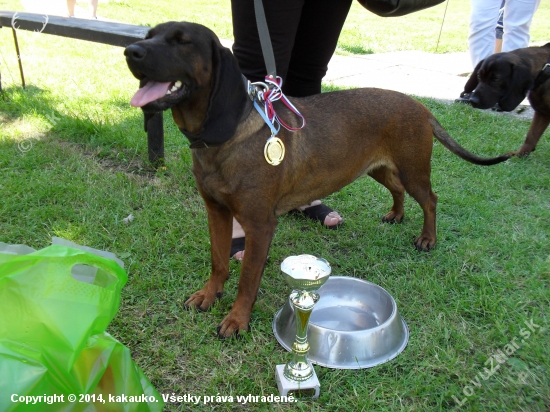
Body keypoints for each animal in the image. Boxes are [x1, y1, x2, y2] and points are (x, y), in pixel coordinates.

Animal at [126, 22, 512, 336]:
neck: (224, 141)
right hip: (379, 169)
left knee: (430, 198)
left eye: (182, 42)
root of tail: (422, 107)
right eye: (149, 36)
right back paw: (396, 215)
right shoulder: (217, 213)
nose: (131, 51)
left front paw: (237, 320)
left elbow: (248, 280)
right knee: (399, 190)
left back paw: (427, 238)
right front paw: (209, 295)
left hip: (413, 168)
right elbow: (219, 261)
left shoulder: (260, 226)